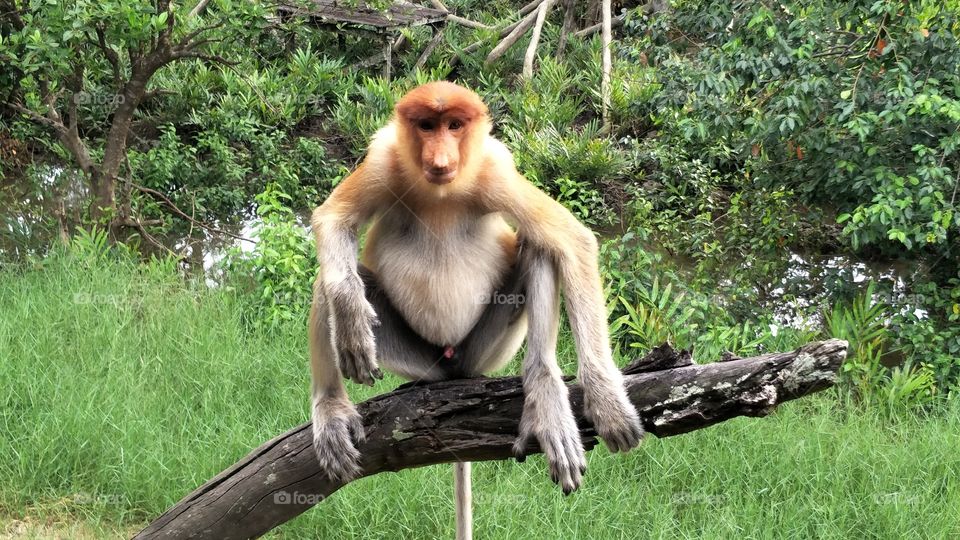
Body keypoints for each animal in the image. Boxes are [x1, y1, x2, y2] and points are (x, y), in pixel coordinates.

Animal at [308, 81, 644, 500]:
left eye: (454, 125)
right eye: (426, 125)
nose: (440, 160)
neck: (440, 194)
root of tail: (453, 366)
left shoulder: (495, 169)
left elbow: (572, 240)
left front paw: (607, 405)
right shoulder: (384, 161)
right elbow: (332, 220)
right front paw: (352, 323)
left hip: (484, 350)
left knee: (538, 243)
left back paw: (544, 395)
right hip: (417, 358)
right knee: (326, 279)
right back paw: (332, 409)